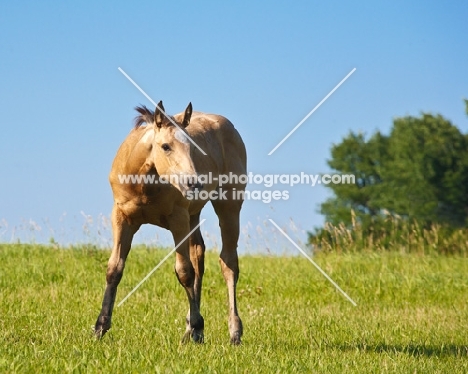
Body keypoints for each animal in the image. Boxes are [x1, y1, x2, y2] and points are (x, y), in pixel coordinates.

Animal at [93, 100, 247, 344]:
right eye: (166, 146)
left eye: (192, 148)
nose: (194, 183)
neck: (144, 182)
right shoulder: (121, 218)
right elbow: (114, 269)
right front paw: (100, 327)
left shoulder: (178, 219)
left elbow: (184, 272)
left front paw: (197, 324)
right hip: (193, 215)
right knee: (198, 255)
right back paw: (192, 331)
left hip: (228, 205)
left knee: (228, 262)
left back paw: (234, 333)